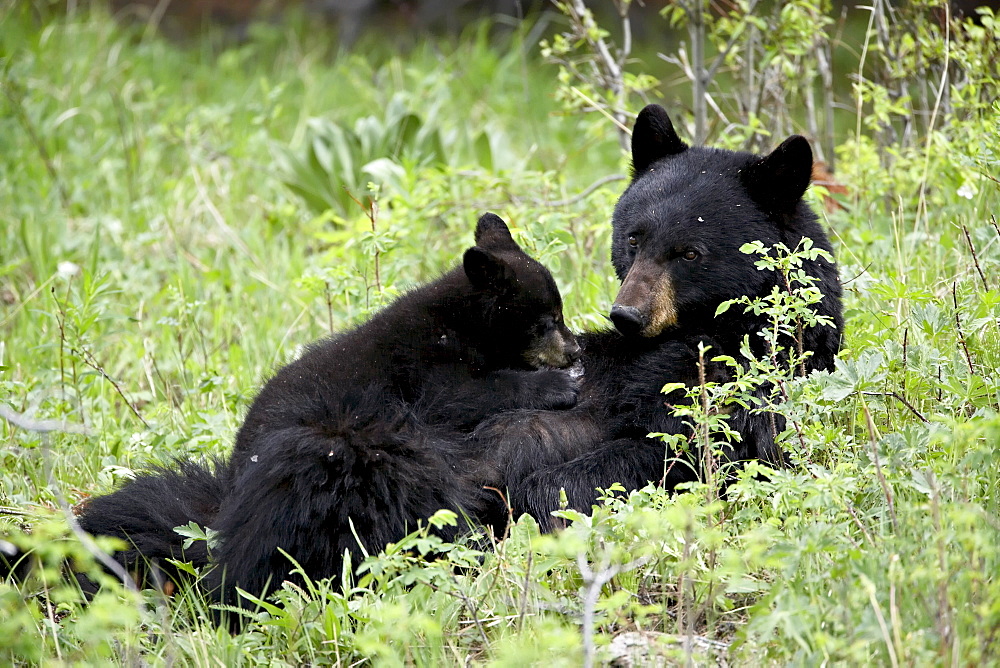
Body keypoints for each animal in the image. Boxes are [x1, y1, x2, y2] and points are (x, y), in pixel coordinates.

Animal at [72, 213, 580, 604]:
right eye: (546, 321)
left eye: (559, 313)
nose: (575, 349)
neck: (461, 321)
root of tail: (229, 499)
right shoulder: (425, 363)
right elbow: (467, 395)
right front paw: (560, 385)